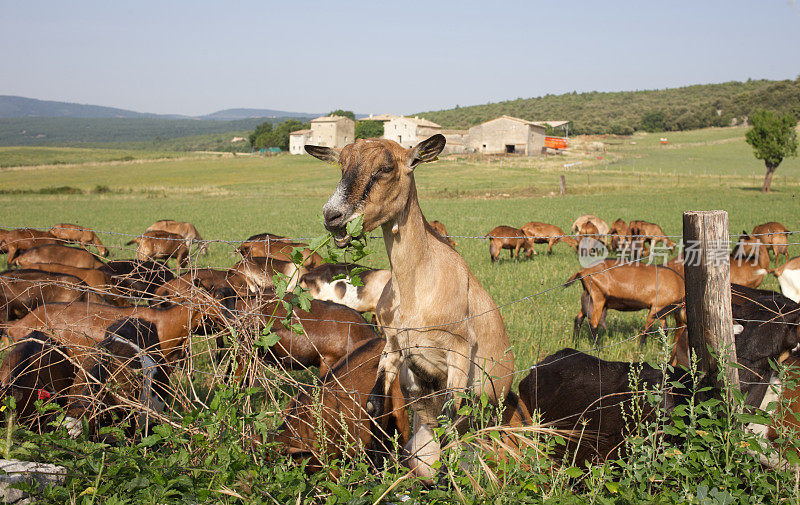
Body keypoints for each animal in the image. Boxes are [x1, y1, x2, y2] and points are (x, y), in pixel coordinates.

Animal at [310, 135, 516, 480]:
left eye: (385, 168)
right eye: (342, 165)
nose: (332, 216)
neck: (416, 287)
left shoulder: (459, 351)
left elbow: (450, 419)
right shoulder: (394, 345)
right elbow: (374, 405)